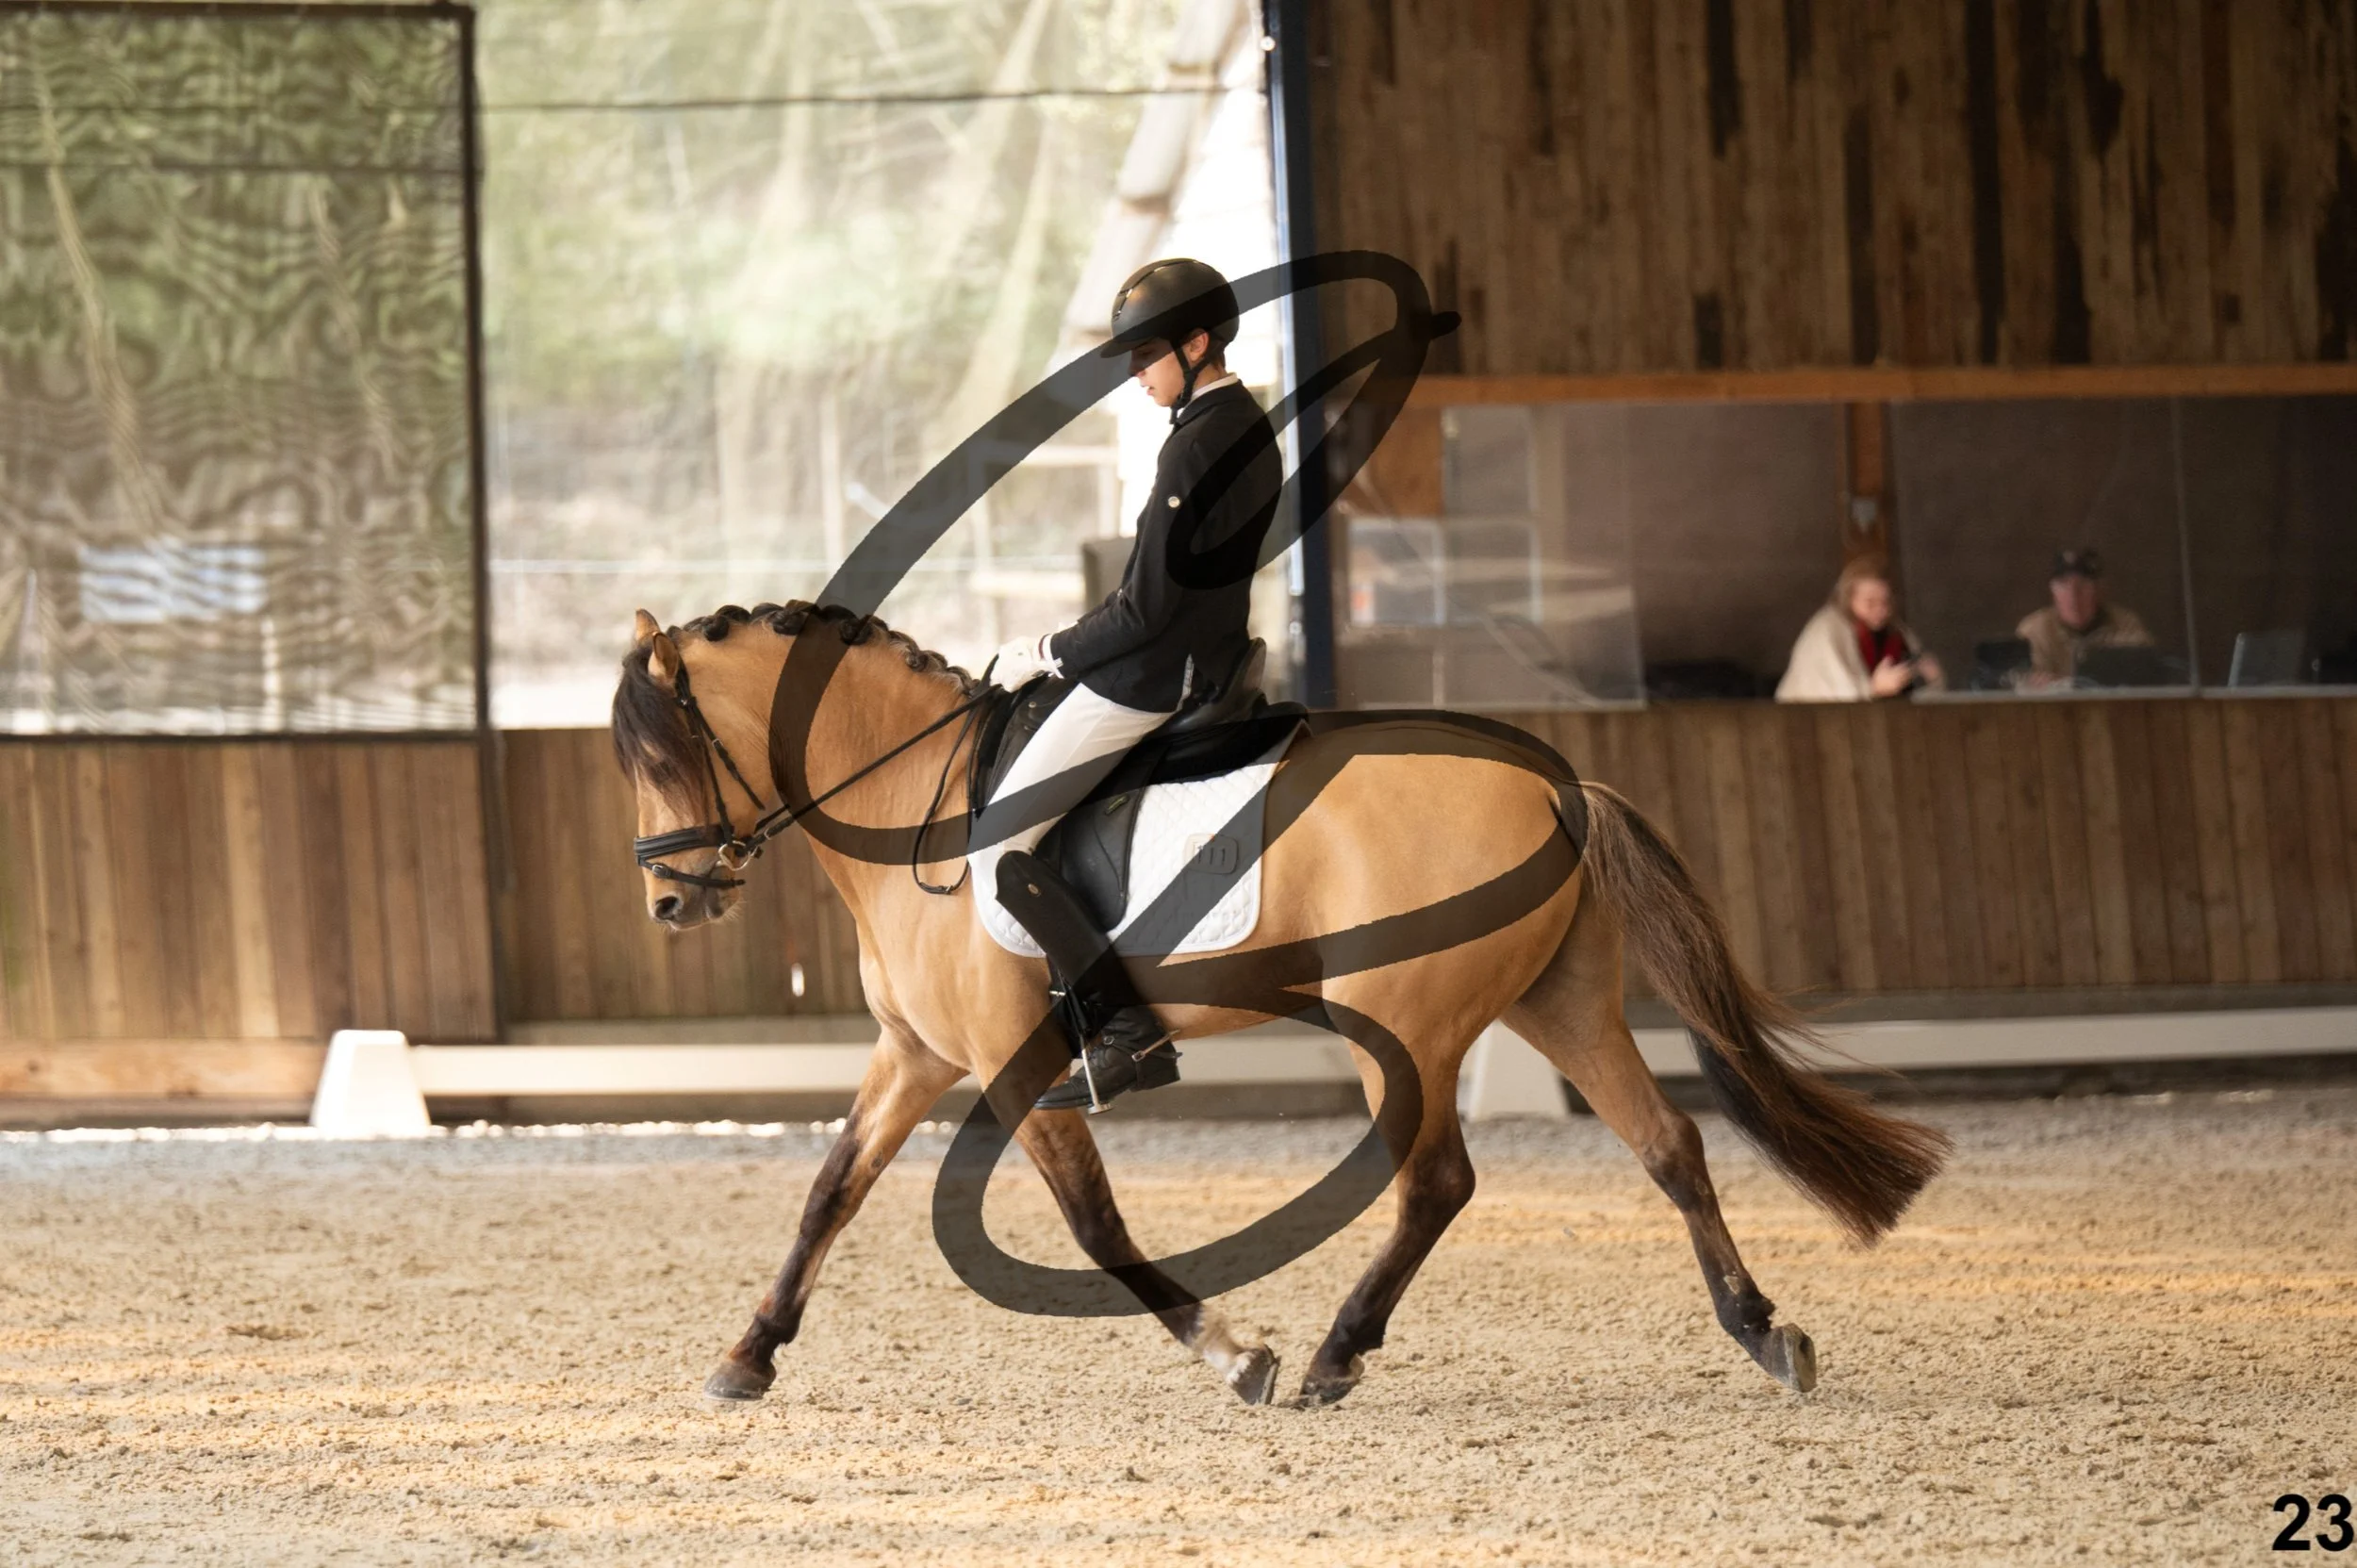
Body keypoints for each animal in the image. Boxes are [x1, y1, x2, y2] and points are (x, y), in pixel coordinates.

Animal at [610, 600, 1951, 1409]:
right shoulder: (915, 1056)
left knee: (1438, 1182)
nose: (672, 899)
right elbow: (829, 1192)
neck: (918, 809)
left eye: (663, 752)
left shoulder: (1008, 1063)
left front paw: (1231, 1348)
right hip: (1559, 1001)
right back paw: (1762, 1329)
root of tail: (1554, 781)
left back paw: (1330, 1354)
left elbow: (1095, 1227)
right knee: (1667, 1144)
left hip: (1402, 1021)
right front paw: (746, 1355)